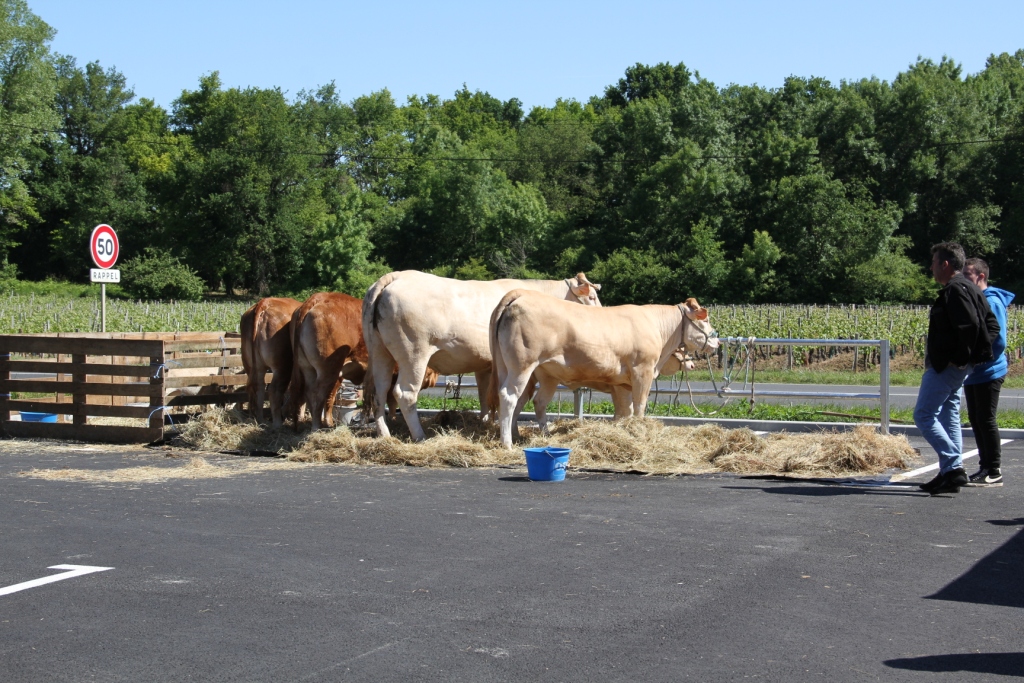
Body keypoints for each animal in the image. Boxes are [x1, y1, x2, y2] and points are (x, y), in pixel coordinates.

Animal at [238, 296, 299, 428]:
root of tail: (264, 303)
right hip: (282, 366)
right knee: (274, 390)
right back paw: (277, 423)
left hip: (252, 365)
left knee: (258, 387)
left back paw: (260, 419)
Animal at [362, 270, 598, 440]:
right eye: (592, 296)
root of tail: (394, 277)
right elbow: (516, 397)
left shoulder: (484, 365)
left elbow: (484, 396)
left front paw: (485, 424)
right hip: (413, 352)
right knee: (404, 393)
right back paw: (420, 436)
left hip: (380, 351)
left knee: (379, 391)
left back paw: (384, 435)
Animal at [489, 292, 720, 448]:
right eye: (706, 319)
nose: (717, 341)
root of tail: (520, 295)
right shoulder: (642, 370)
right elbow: (640, 406)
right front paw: (640, 431)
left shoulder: (622, 383)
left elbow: (624, 411)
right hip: (522, 365)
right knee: (509, 397)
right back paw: (507, 443)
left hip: (538, 373)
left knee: (532, 401)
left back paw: (531, 435)